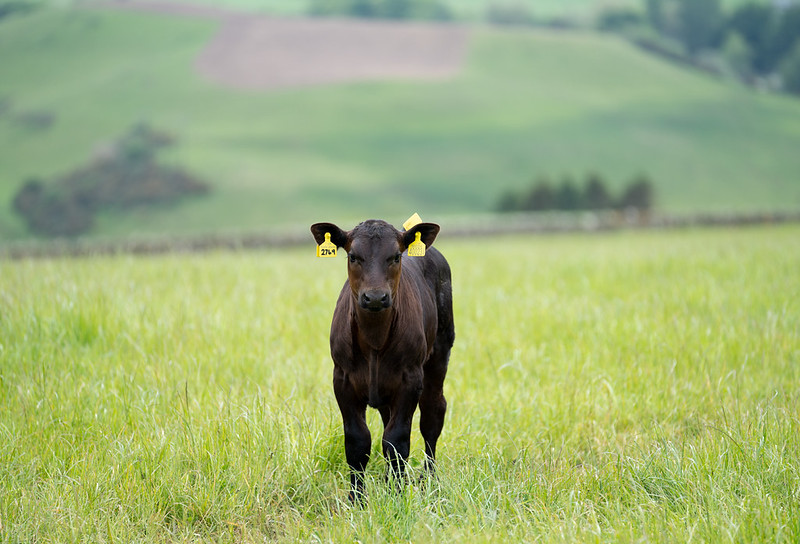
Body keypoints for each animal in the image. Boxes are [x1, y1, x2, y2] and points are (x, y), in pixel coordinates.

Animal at [310, 219, 455, 502]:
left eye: (395, 256)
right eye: (353, 256)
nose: (375, 297)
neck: (374, 342)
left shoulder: (410, 378)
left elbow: (396, 441)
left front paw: (397, 495)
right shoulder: (342, 379)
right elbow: (358, 441)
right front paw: (357, 498)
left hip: (439, 355)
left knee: (433, 414)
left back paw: (427, 479)